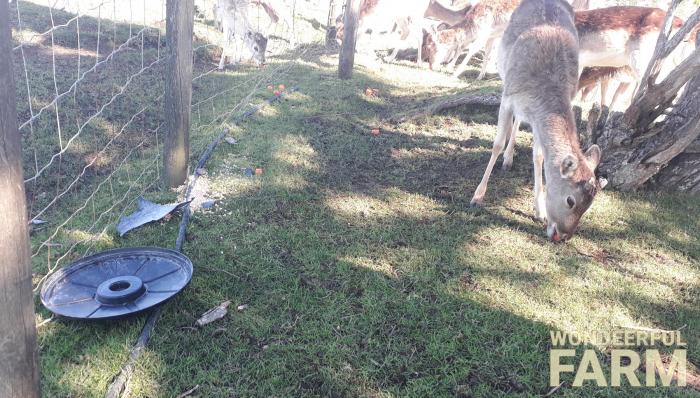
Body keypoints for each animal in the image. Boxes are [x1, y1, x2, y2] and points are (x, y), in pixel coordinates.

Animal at [470, 0, 608, 241]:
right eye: (570, 201)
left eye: (589, 205)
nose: (563, 236)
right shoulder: (508, 97)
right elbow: (496, 144)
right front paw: (477, 196)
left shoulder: (537, 118)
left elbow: (539, 155)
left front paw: (539, 211)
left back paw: (509, 158)